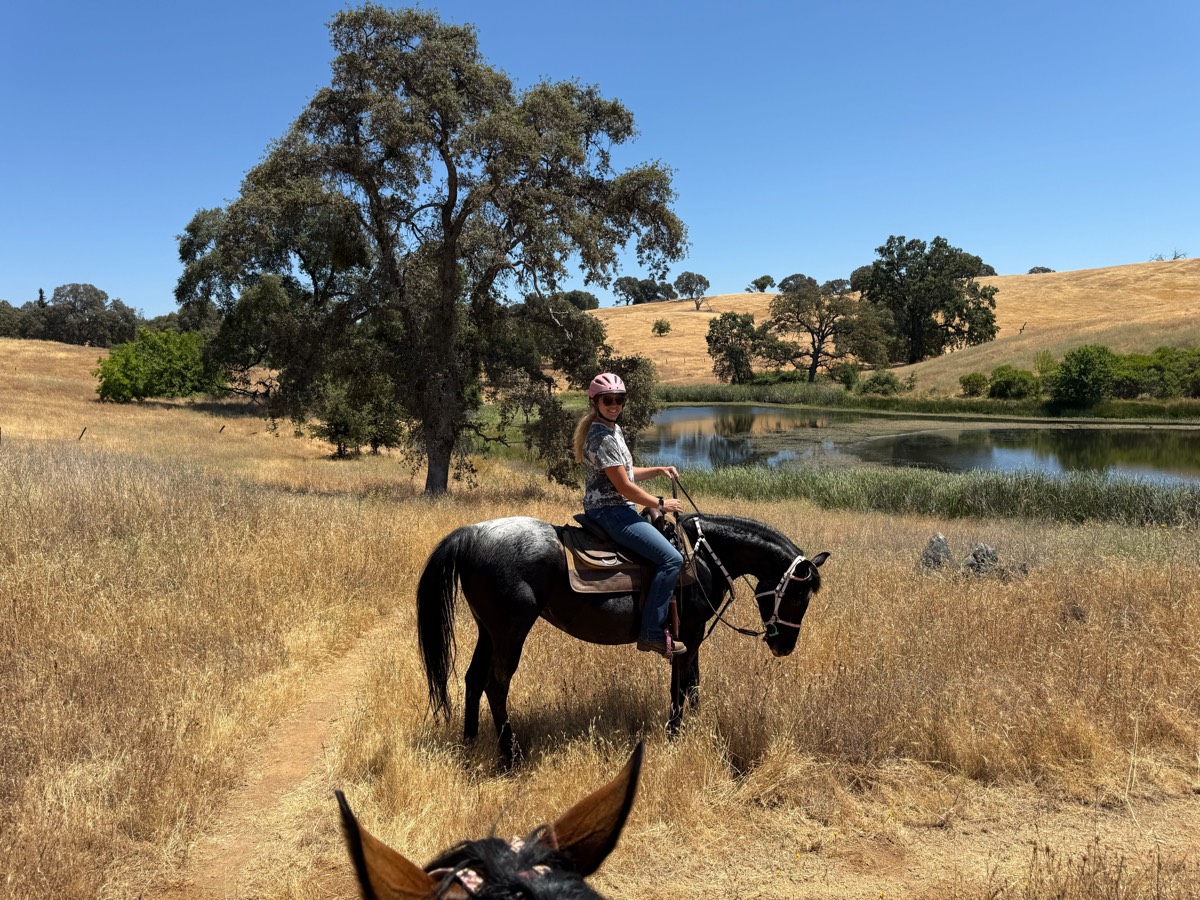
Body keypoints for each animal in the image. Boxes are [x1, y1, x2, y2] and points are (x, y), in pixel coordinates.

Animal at [417, 512, 829, 763]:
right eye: (797, 594)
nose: (783, 646)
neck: (704, 559)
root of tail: (471, 534)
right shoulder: (688, 636)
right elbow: (680, 687)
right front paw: (675, 736)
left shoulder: (692, 640)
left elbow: (694, 684)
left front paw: (695, 728)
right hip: (510, 631)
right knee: (496, 684)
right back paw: (511, 756)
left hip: (488, 630)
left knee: (473, 679)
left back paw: (471, 744)